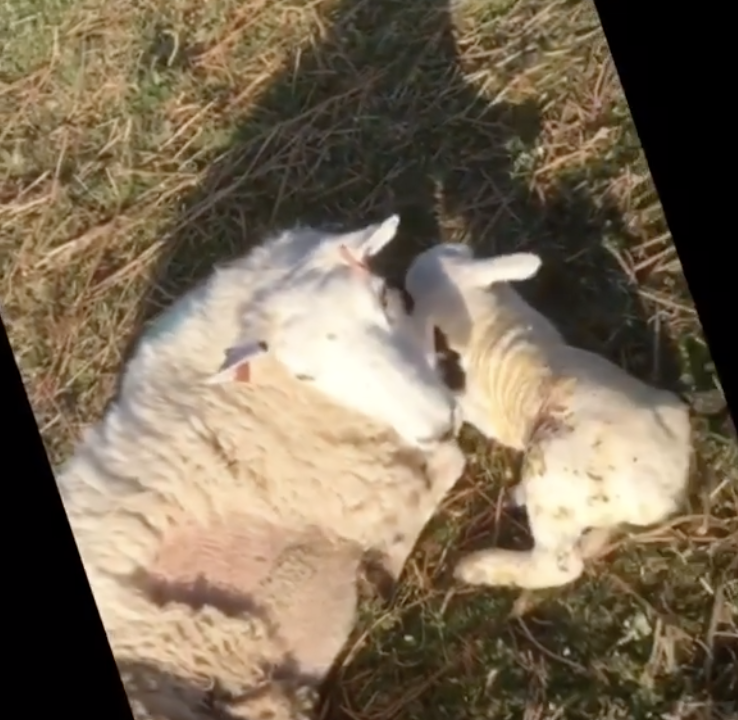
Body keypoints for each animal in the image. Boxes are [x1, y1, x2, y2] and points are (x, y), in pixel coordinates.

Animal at [56, 216, 467, 720]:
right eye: (305, 374)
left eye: (384, 298)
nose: (438, 421)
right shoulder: (359, 492)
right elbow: (448, 464)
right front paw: (384, 563)